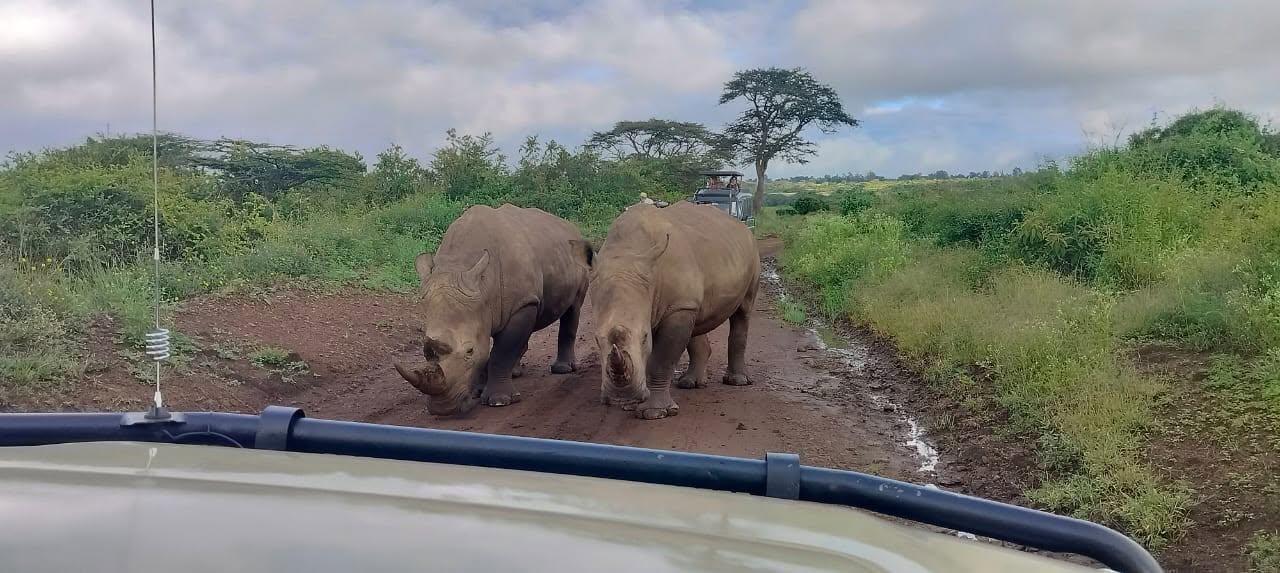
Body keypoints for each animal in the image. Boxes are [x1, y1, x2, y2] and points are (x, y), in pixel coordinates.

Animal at [395, 204, 592, 416]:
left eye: (469, 351)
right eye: (425, 351)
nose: (443, 409)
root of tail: (570, 227)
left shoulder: (521, 303)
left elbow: (501, 351)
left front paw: (499, 401)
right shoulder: (487, 307)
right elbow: (494, 349)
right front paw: (477, 391)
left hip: (576, 262)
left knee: (573, 309)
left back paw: (562, 370)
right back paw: (515, 373)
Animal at [589, 202, 760, 420]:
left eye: (645, 337)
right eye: (596, 339)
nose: (621, 396)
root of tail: (741, 225)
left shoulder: (677, 307)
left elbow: (661, 359)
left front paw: (654, 413)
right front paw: (632, 404)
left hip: (751, 252)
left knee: (743, 312)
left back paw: (737, 382)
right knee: (696, 319)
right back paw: (690, 384)